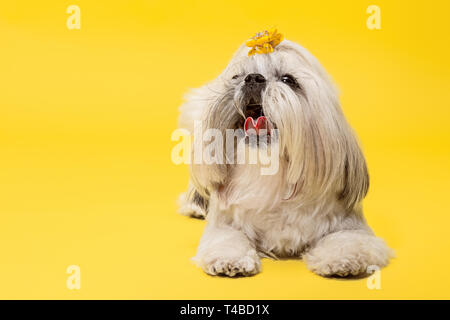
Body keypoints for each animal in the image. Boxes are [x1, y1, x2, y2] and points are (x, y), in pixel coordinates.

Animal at [178, 28, 392, 276]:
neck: (272, 177)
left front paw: (343, 260)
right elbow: (226, 238)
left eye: (288, 80)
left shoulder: (349, 224)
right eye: (237, 77)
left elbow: (348, 241)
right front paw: (229, 260)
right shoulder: (224, 222)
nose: (253, 78)